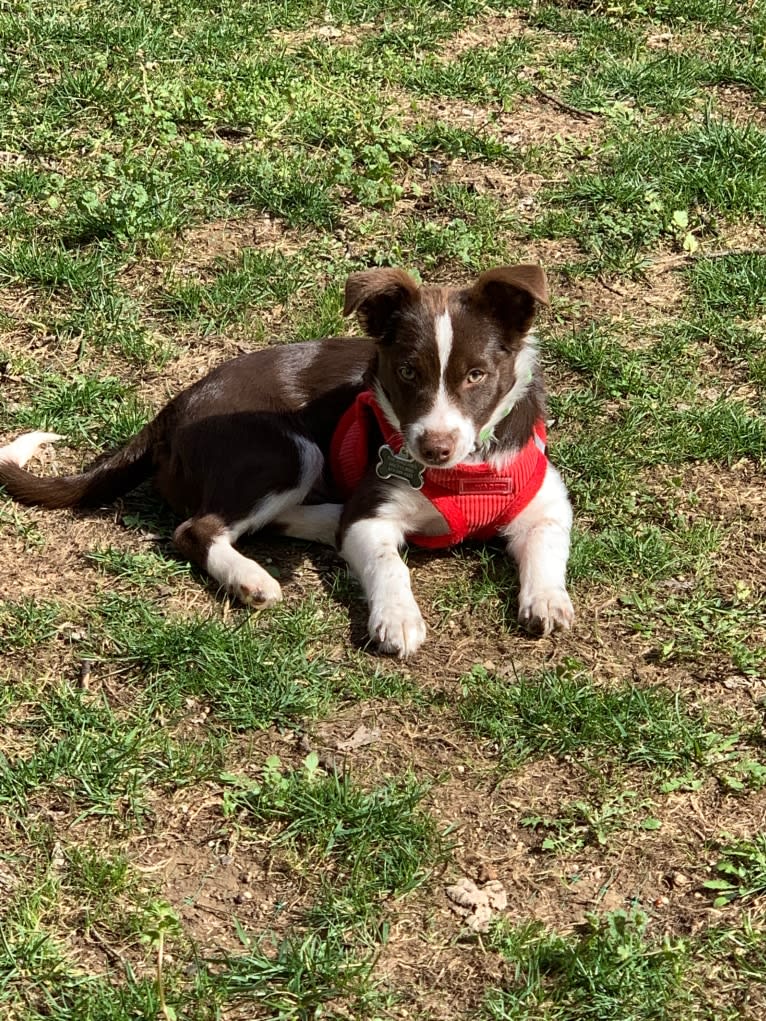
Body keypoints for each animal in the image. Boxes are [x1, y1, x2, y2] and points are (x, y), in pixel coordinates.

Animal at [1, 263, 576, 657]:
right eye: (408, 372)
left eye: (477, 375)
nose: (432, 448)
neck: (461, 473)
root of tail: (174, 408)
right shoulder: (370, 515)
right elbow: (389, 565)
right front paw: (397, 619)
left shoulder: (546, 503)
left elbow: (547, 547)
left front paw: (547, 600)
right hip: (286, 450)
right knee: (196, 528)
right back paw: (250, 578)